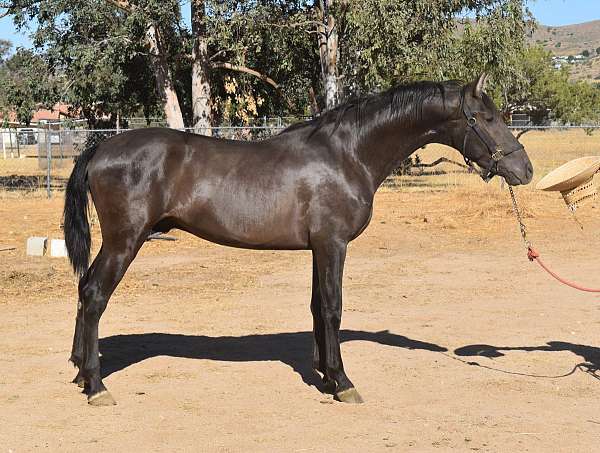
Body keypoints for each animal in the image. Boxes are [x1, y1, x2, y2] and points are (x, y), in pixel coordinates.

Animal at [63, 74, 532, 406]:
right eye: (487, 118)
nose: (524, 170)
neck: (348, 154)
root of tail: (101, 149)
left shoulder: (317, 248)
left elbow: (316, 307)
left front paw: (324, 375)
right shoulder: (333, 244)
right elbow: (332, 307)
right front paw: (342, 382)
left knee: (84, 290)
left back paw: (81, 371)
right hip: (125, 241)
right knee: (95, 294)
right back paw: (97, 386)